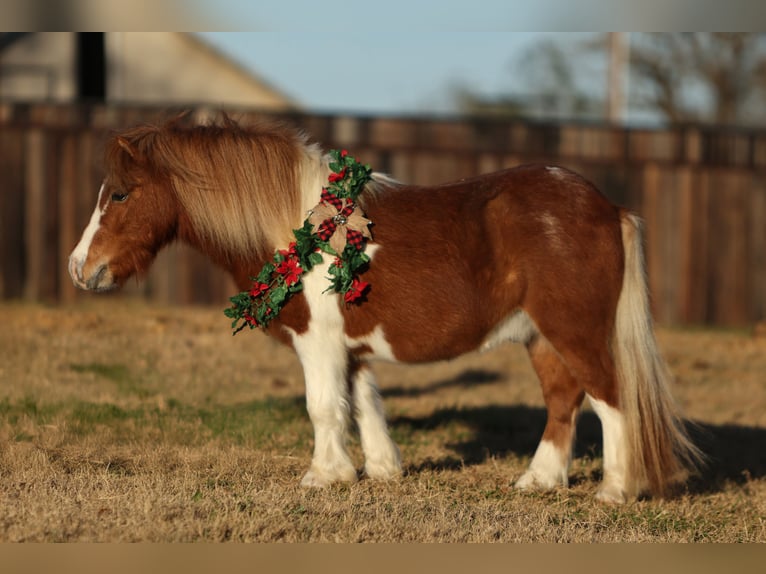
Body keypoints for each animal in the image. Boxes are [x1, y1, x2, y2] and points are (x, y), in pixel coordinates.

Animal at [68, 114, 700, 503]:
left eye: (119, 194)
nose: (80, 268)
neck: (298, 227)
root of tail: (608, 207)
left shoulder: (317, 341)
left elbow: (324, 406)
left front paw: (323, 477)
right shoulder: (350, 346)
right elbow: (364, 403)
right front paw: (379, 469)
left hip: (576, 331)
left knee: (611, 399)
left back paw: (614, 490)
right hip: (541, 337)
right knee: (563, 402)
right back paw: (538, 481)